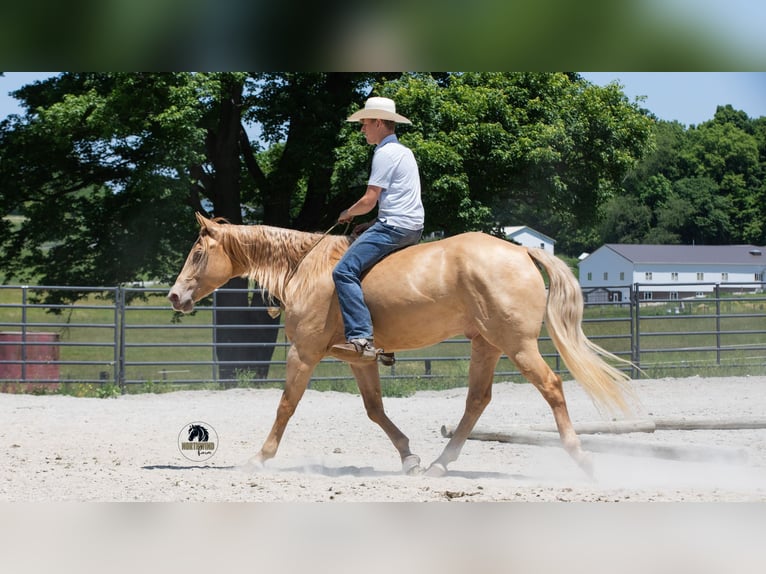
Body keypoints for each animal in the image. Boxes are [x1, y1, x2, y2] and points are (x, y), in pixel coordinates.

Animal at [168, 213, 635, 477]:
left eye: (197, 252)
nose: (174, 296)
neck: (307, 268)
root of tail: (522, 252)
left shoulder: (304, 353)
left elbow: (286, 406)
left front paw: (260, 458)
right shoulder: (359, 360)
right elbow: (375, 409)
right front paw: (409, 457)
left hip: (517, 345)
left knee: (551, 387)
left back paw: (581, 459)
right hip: (486, 344)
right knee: (477, 400)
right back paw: (440, 464)